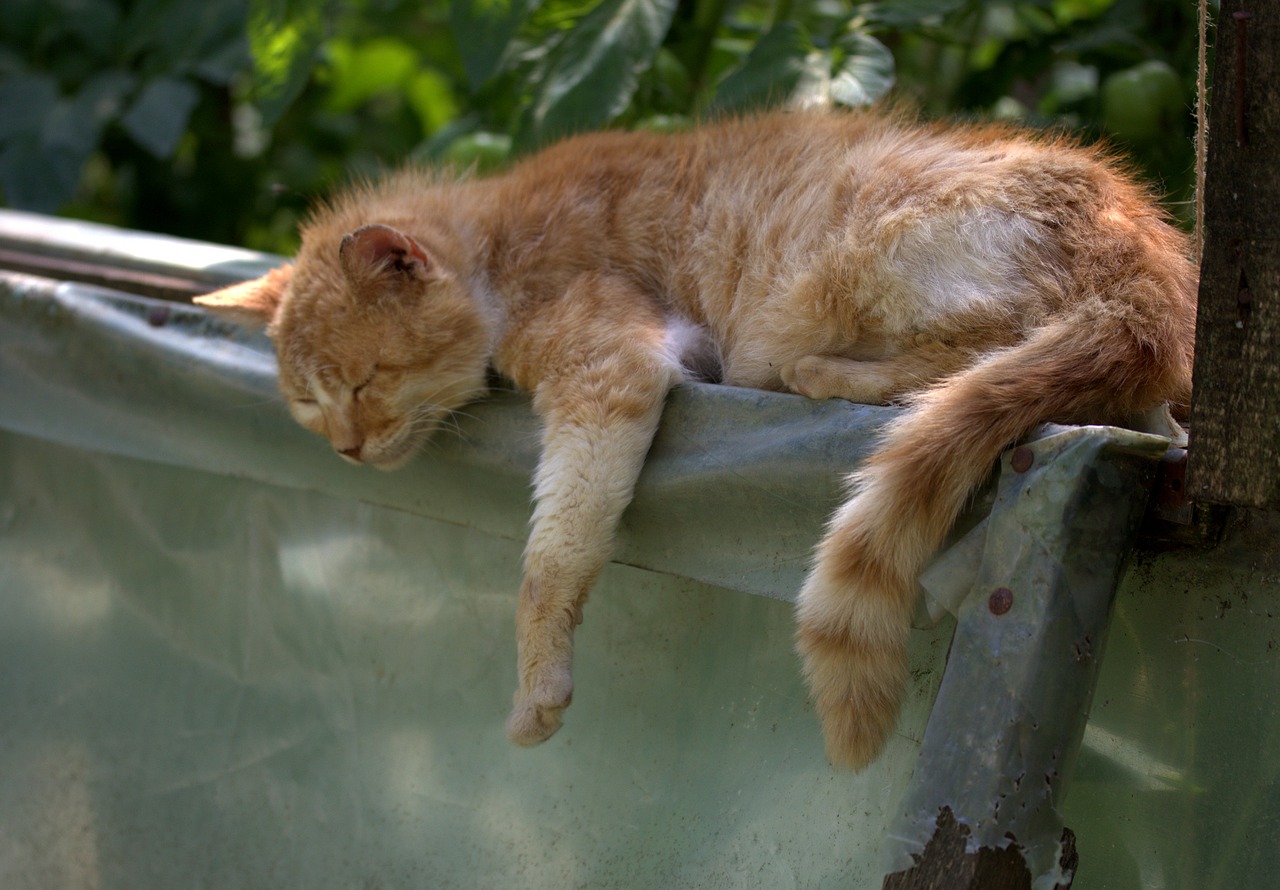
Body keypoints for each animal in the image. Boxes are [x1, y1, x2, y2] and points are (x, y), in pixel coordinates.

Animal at [194, 109, 1192, 768]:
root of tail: (1146, 277)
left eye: (365, 382)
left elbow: (550, 559)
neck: (499, 243)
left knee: (970, 359)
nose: (345, 450)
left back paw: (821, 374)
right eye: (308, 404)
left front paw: (538, 685)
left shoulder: (610, 372)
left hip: (846, 266)